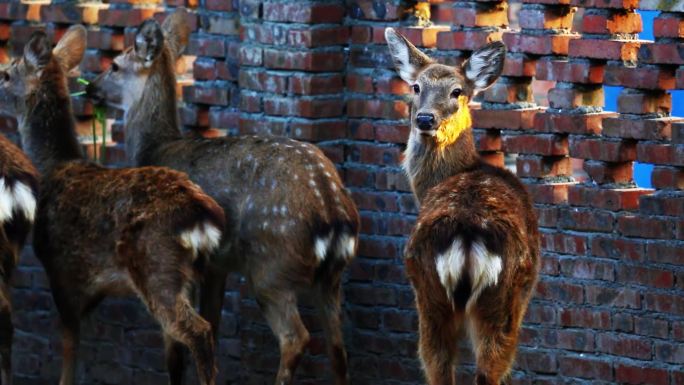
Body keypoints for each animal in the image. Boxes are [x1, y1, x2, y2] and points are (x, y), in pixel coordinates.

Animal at [0, 27, 227, 384]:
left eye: (7, 74)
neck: (54, 167)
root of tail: (202, 218)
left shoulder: (61, 269)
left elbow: (69, 350)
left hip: (157, 267)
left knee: (198, 332)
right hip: (198, 274)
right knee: (186, 343)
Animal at [85, 9, 358, 384]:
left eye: (114, 65)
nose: (90, 89)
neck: (156, 148)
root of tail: (333, 213)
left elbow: (176, 347)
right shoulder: (217, 265)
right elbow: (212, 324)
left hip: (270, 265)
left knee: (296, 337)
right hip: (331, 276)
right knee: (338, 346)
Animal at [384, 29, 540, 384]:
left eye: (457, 91)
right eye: (416, 87)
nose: (425, 118)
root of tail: (467, 238)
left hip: (431, 290)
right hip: (498, 296)